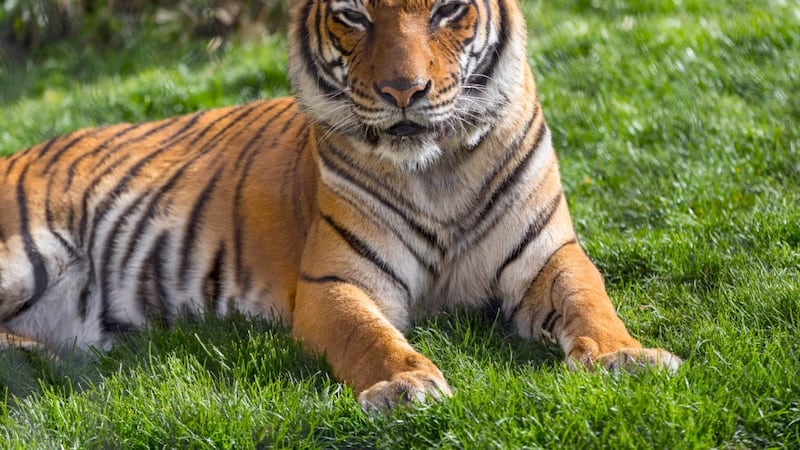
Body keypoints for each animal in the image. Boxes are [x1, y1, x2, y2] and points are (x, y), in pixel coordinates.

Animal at [0, 0, 682, 411]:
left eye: (446, 9)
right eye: (354, 15)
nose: (404, 91)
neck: (441, 172)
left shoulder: (550, 255)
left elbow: (589, 300)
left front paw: (627, 357)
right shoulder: (335, 282)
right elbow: (367, 336)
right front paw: (405, 386)